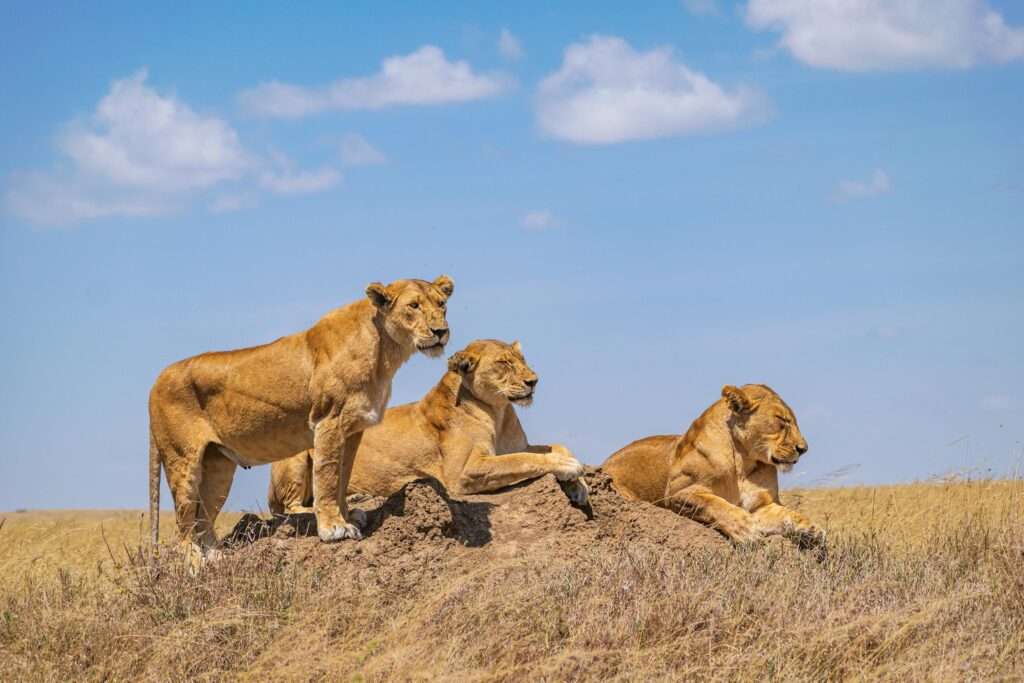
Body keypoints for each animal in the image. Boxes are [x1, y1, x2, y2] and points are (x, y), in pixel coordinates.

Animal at [149, 274, 454, 557]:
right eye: (413, 305)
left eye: (442, 304)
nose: (441, 331)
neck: (385, 351)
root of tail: (156, 380)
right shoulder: (329, 421)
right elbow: (328, 475)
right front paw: (334, 528)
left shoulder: (353, 429)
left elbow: (343, 475)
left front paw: (347, 516)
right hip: (182, 459)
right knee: (184, 522)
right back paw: (195, 562)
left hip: (218, 464)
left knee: (203, 518)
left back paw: (215, 558)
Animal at [268, 337, 589, 511]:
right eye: (504, 363)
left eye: (522, 359)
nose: (534, 381)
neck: (499, 411)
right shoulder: (463, 472)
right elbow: (523, 460)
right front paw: (567, 468)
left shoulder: (517, 444)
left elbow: (553, 446)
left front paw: (579, 484)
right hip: (298, 453)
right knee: (290, 508)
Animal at [598, 385, 823, 548]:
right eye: (782, 421)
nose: (804, 448)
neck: (743, 460)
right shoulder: (676, 493)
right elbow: (714, 504)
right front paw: (745, 529)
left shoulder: (761, 506)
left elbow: (786, 513)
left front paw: (812, 529)